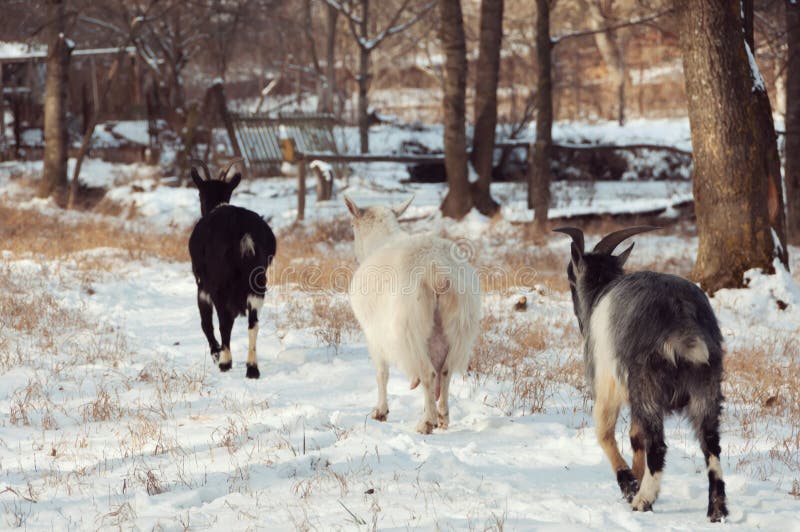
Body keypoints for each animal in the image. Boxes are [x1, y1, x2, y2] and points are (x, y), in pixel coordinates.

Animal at [188, 159, 277, 379]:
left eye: (199, 194)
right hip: (257, 283)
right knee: (253, 323)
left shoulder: (202, 285)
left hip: (221, 285)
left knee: (224, 322)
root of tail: (242, 232)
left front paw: (215, 353)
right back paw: (252, 368)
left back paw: (225, 361)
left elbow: (206, 322)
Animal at [343, 195, 481, 434]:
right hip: (459, 326)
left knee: (429, 373)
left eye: (352, 226)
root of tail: (437, 271)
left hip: (412, 328)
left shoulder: (374, 335)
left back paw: (427, 422)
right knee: (445, 371)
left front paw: (380, 412)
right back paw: (442, 417)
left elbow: (382, 373)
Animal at [554, 226, 728, 522]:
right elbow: (636, 438)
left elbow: (604, 432)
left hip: (646, 385)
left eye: (569, 277)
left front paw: (629, 484)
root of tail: (681, 321)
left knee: (658, 445)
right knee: (710, 443)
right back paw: (717, 510)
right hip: (706, 385)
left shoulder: (606, 384)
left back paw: (643, 500)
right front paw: (635, 478)